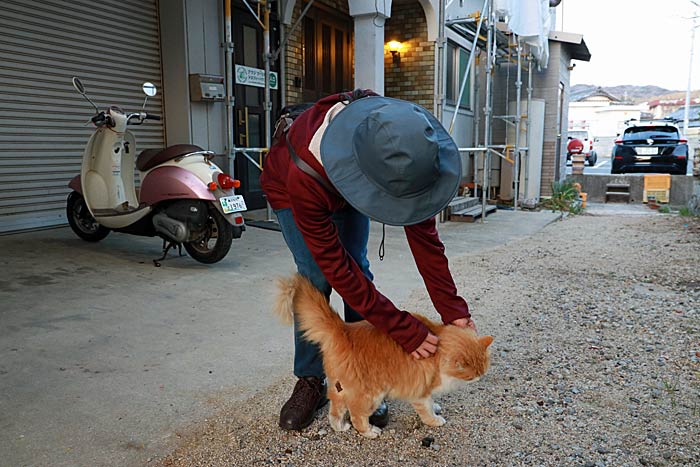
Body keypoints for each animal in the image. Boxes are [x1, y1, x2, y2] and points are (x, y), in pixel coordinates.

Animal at [274, 274, 492, 438]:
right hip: (370, 394)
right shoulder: (419, 390)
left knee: (336, 406)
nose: (480, 378)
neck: (438, 350)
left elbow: (431, 402)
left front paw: (436, 407)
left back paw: (339, 426)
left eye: (482, 371)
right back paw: (370, 432)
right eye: (472, 374)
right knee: (356, 414)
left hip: (342, 385)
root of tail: (344, 329)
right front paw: (435, 420)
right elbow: (426, 410)